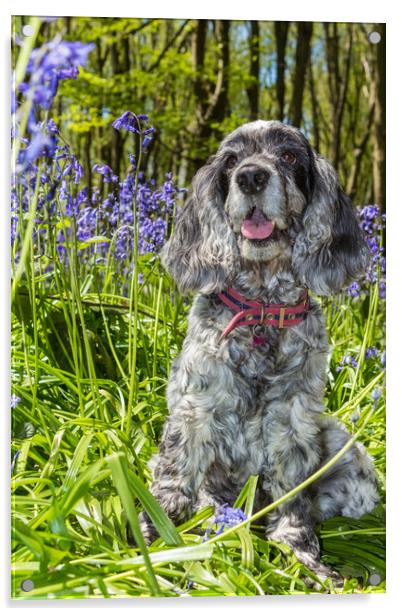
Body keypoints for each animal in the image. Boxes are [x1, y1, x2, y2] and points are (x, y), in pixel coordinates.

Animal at [140, 119, 378, 584]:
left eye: (288, 156)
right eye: (231, 160)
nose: (251, 177)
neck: (262, 309)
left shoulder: (294, 424)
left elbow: (294, 505)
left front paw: (305, 560)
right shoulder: (194, 413)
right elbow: (174, 480)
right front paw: (150, 538)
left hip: (345, 447)